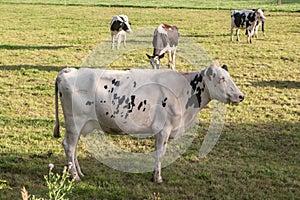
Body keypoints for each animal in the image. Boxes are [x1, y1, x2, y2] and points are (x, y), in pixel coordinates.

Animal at [53, 60, 244, 183]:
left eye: (229, 77)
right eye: (222, 79)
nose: (241, 96)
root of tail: (69, 71)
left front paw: (154, 175)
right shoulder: (164, 129)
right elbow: (160, 153)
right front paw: (157, 178)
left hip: (79, 126)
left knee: (74, 148)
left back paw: (80, 173)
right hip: (74, 123)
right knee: (69, 146)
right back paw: (75, 177)